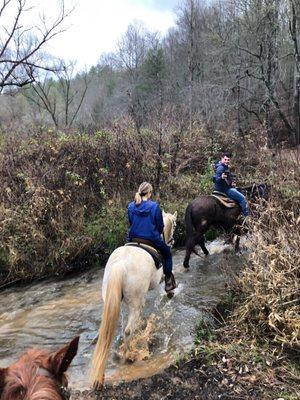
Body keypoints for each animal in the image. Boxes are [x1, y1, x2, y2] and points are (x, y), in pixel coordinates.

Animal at [90, 211, 177, 390]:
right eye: (175, 224)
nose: (172, 241)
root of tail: (120, 265)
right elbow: (166, 278)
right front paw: (170, 290)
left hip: (113, 299)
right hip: (134, 302)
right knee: (129, 329)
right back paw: (128, 355)